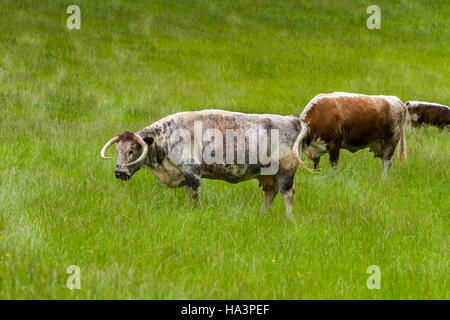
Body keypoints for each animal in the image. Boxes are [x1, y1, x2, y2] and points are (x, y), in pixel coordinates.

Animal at [100, 110, 312, 220]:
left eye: (131, 151)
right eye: (118, 150)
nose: (119, 172)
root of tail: (294, 120)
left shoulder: (192, 171)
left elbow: (196, 195)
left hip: (285, 172)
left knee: (287, 193)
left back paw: (289, 219)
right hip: (267, 175)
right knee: (270, 194)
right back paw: (262, 215)